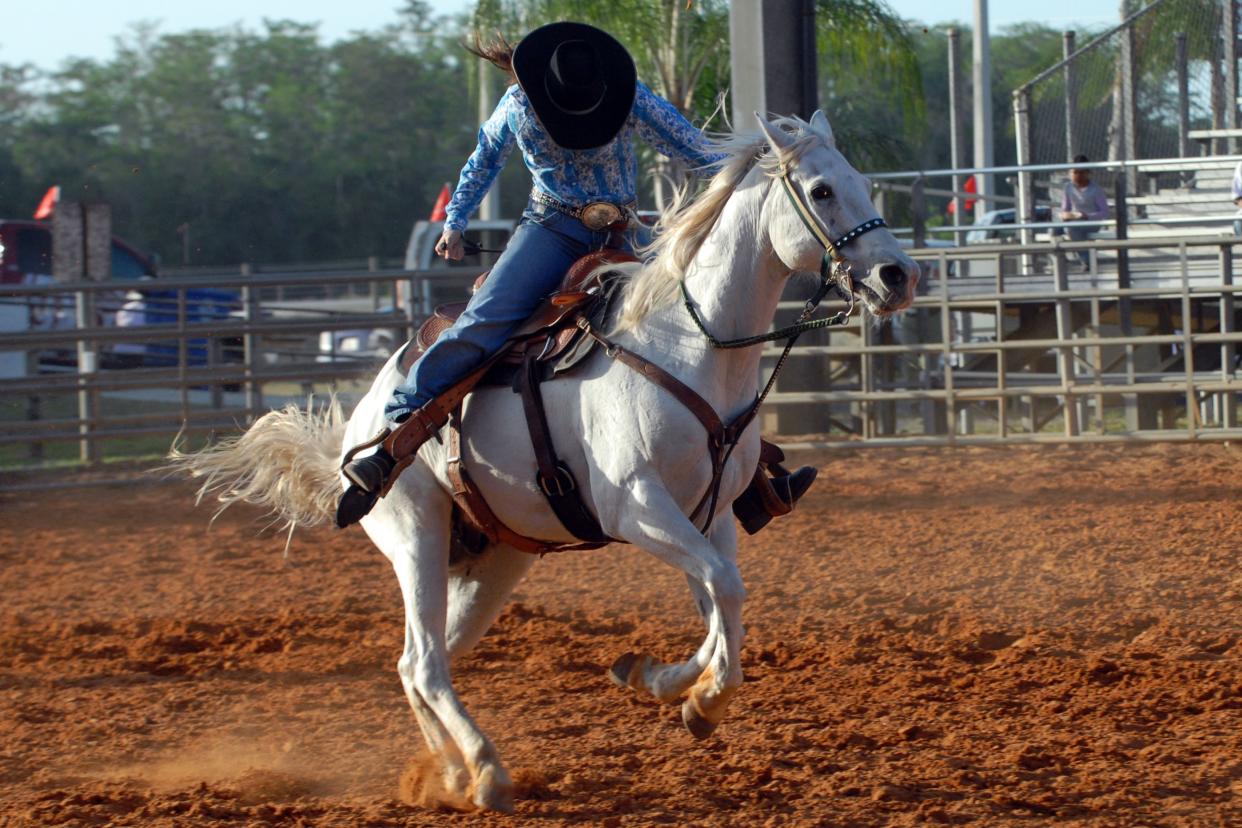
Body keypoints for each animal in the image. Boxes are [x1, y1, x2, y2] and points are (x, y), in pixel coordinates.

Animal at [180, 113, 929, 814]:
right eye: (822, 189)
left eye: (864, 183)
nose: (899, 275)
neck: (691, 346)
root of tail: (364, 419)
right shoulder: (636, 509)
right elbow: (725, 591)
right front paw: (694, 693)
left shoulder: (707, 515)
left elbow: (723, 603)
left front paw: (671, 686)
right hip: (416, 532)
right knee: (424, 661)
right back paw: (484, 773)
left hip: (496, 562)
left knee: (418, 662)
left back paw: (447, 773)